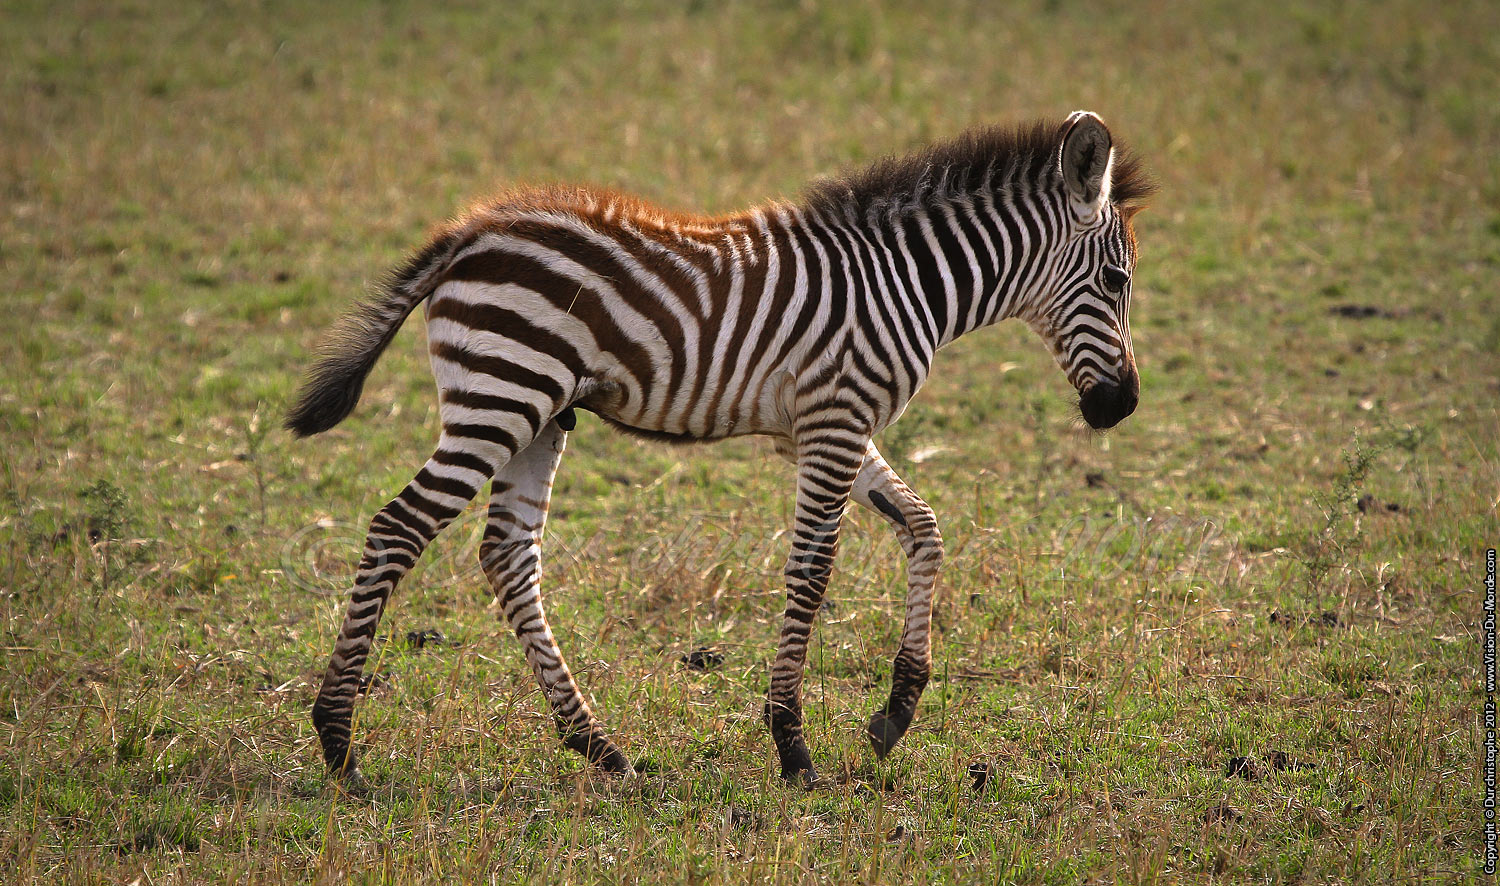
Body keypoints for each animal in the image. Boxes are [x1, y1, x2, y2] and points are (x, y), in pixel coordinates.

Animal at [286, 111, 1153, 786]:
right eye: (1117, 282)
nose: (1122, 406)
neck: (907, 282)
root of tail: (469, 231)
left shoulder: (820, 427)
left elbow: (923, 527)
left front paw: (896, 711)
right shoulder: (835, 420)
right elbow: (813, 572)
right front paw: (793, 747)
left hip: (540, 413)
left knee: (507, 554)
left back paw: (598, 747)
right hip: (502, 395)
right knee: (398, 529)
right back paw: (338, 743)